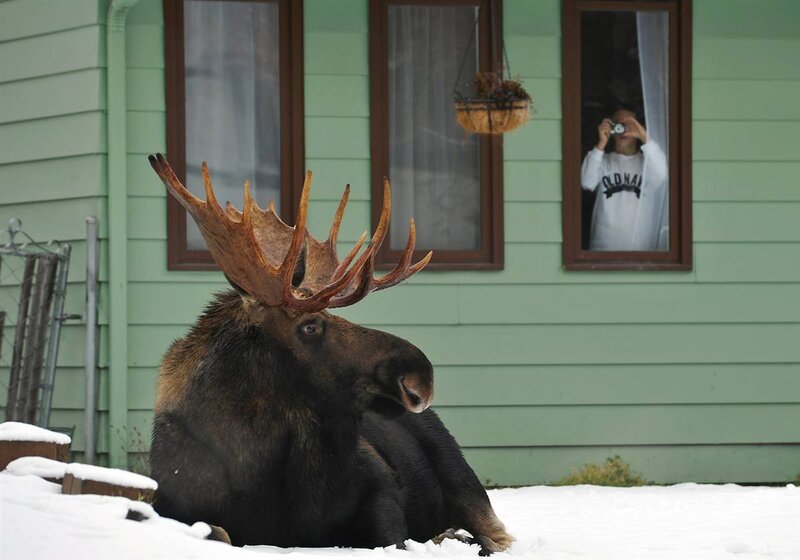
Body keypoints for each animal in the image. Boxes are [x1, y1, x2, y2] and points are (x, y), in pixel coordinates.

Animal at [147, 154, 514, 555]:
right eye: (310, 326)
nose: (420, 375)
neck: (257, 470)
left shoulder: (383, 488)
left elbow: (393, 539)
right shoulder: (169, 504)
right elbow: (218, 531)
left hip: (464, 480)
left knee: (495, 535)